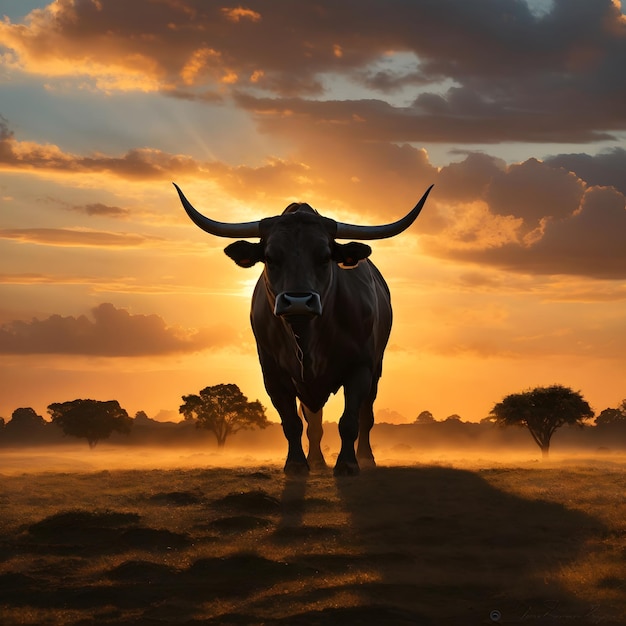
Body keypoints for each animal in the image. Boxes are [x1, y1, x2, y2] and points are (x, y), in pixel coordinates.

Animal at [173, 183, 432, 476]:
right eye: (270, 257)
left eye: (325, 257)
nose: (298, 301)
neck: (308, 337)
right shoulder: (274, 374)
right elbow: (293, 423)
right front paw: (296, 464)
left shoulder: (361, 368)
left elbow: (350, 420)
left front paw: (347, 464)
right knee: (314, 423)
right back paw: (316, 461)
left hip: (376, 369)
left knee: (366, 415)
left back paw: (365, 458)